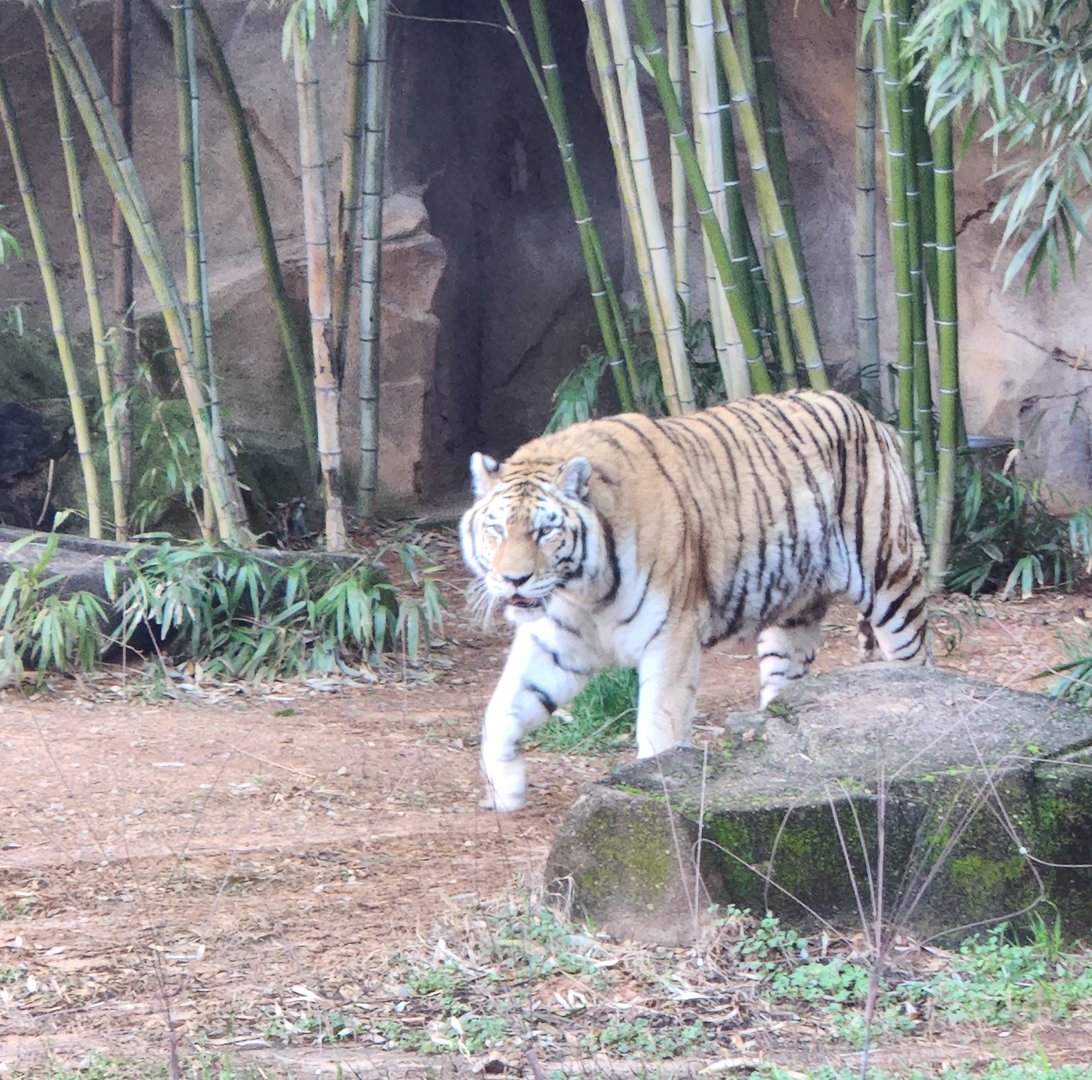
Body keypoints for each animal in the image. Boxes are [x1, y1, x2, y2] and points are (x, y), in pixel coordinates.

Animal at [460, 390, 929, 812]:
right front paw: (506, 790)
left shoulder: (670, 636)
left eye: (544, 531)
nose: (514, 579)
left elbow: (658, 727)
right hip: (791, 615)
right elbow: (501, 710)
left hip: (892, 575)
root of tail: (873, 418)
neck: (581, 590)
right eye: (496, 529)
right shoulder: (555, 638)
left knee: (917, 659)